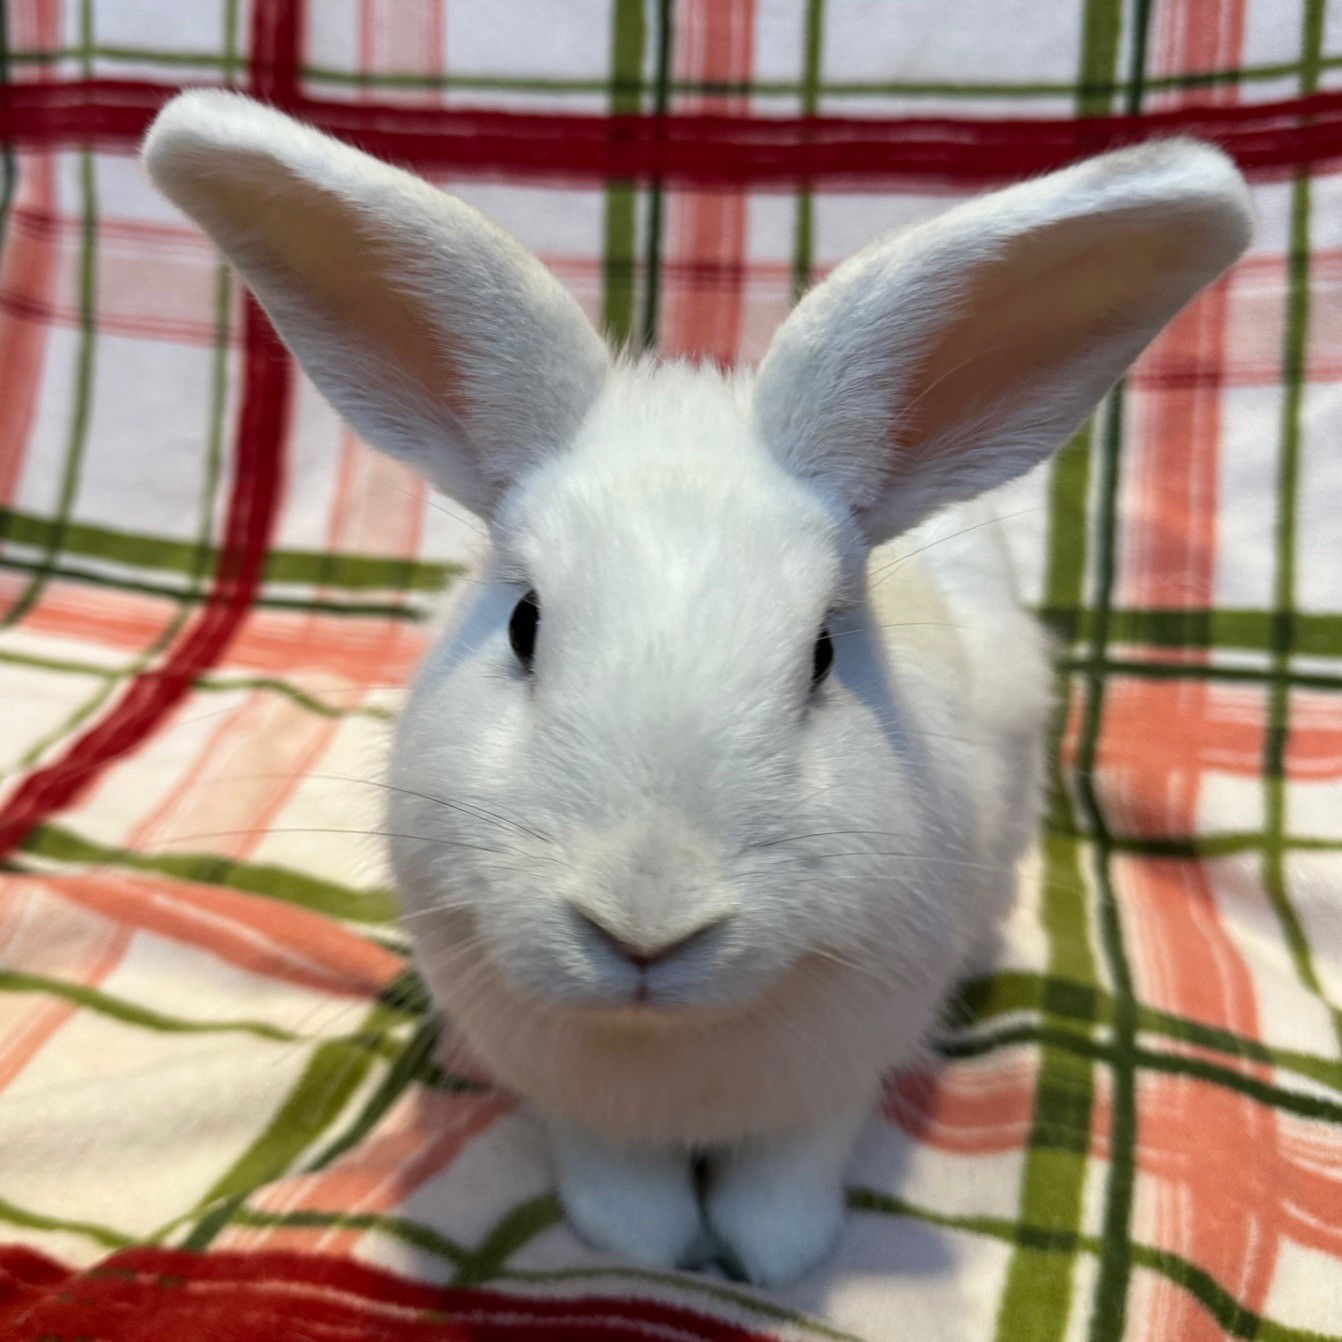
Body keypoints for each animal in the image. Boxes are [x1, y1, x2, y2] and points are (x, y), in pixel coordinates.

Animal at [144, 89, 1245, 1282]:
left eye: (822, 654)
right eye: (525, 625)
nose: (645, 924)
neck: (667, 1048)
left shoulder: (828, 1088)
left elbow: (785, 1177)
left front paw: (777, 1259)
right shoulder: (577, 1104)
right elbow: (620, 1182)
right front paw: (646, 1246)